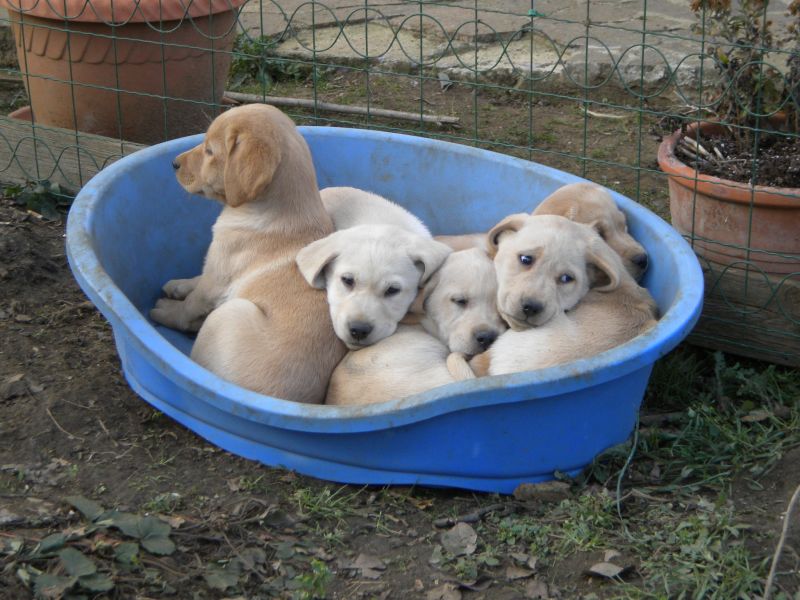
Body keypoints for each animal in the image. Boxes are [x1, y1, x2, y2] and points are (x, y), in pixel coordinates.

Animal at [152, 104, 346, 404]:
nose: (173, 163)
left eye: (210, 151)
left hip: (231, 312)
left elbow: (188, 306)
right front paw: (177, 285)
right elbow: (196, 278)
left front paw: (166, 309)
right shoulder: (215, 268)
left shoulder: (215, 282)